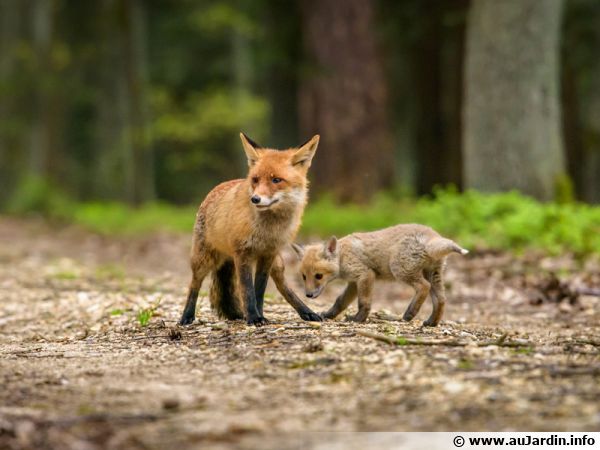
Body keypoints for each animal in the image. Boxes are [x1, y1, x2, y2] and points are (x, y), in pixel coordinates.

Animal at [180, 132, 324, 326]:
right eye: (255, 180)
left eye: (276, 180)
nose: (255, 199)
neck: (268, 228)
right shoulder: (243, 253)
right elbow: (247, 290)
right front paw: (254, 317)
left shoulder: (267, 254)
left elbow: (259, 291)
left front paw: (259, 315)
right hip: (203, 260)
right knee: (194, 285)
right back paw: (186, 316)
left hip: (276, 262)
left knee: (283, 285)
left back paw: (306, 311)